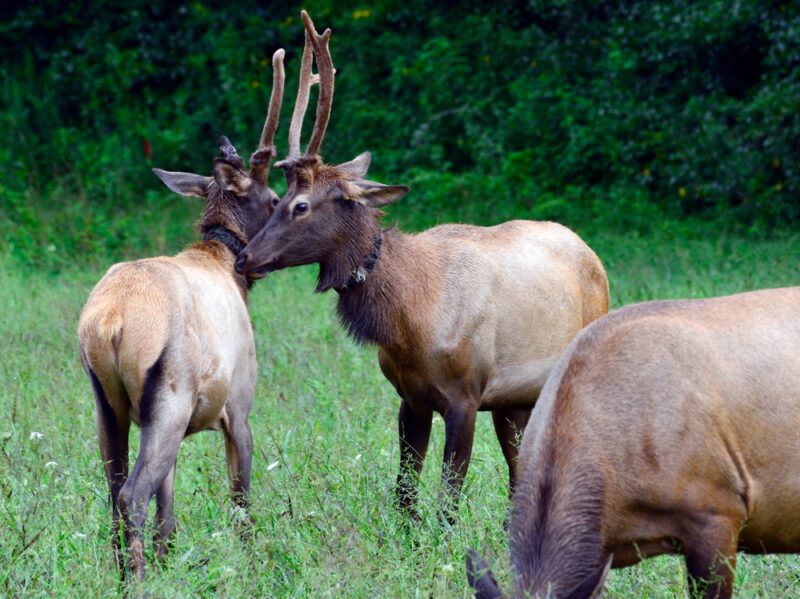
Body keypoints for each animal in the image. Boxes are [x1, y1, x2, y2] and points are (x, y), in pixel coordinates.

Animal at [76, 49, 288, 584]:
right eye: (277, 199)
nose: (265, 260)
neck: (222, 262)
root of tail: (108, 325)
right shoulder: (238, 406)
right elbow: (241, 501)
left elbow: (168, 515)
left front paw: (170, 561)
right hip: (169, 397)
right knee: (131, 495)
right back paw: (137, 582)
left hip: (109, 405)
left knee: (114, 491)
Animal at [234, 12, 608, 520]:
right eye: (277, 199)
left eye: (301, 206)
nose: (244, 257)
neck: (408, 321)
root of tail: (593, 255)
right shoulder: (410, 397)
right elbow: (405, 495)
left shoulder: (466, 394)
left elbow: (448, 502)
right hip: (515, 400)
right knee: (518, 474)